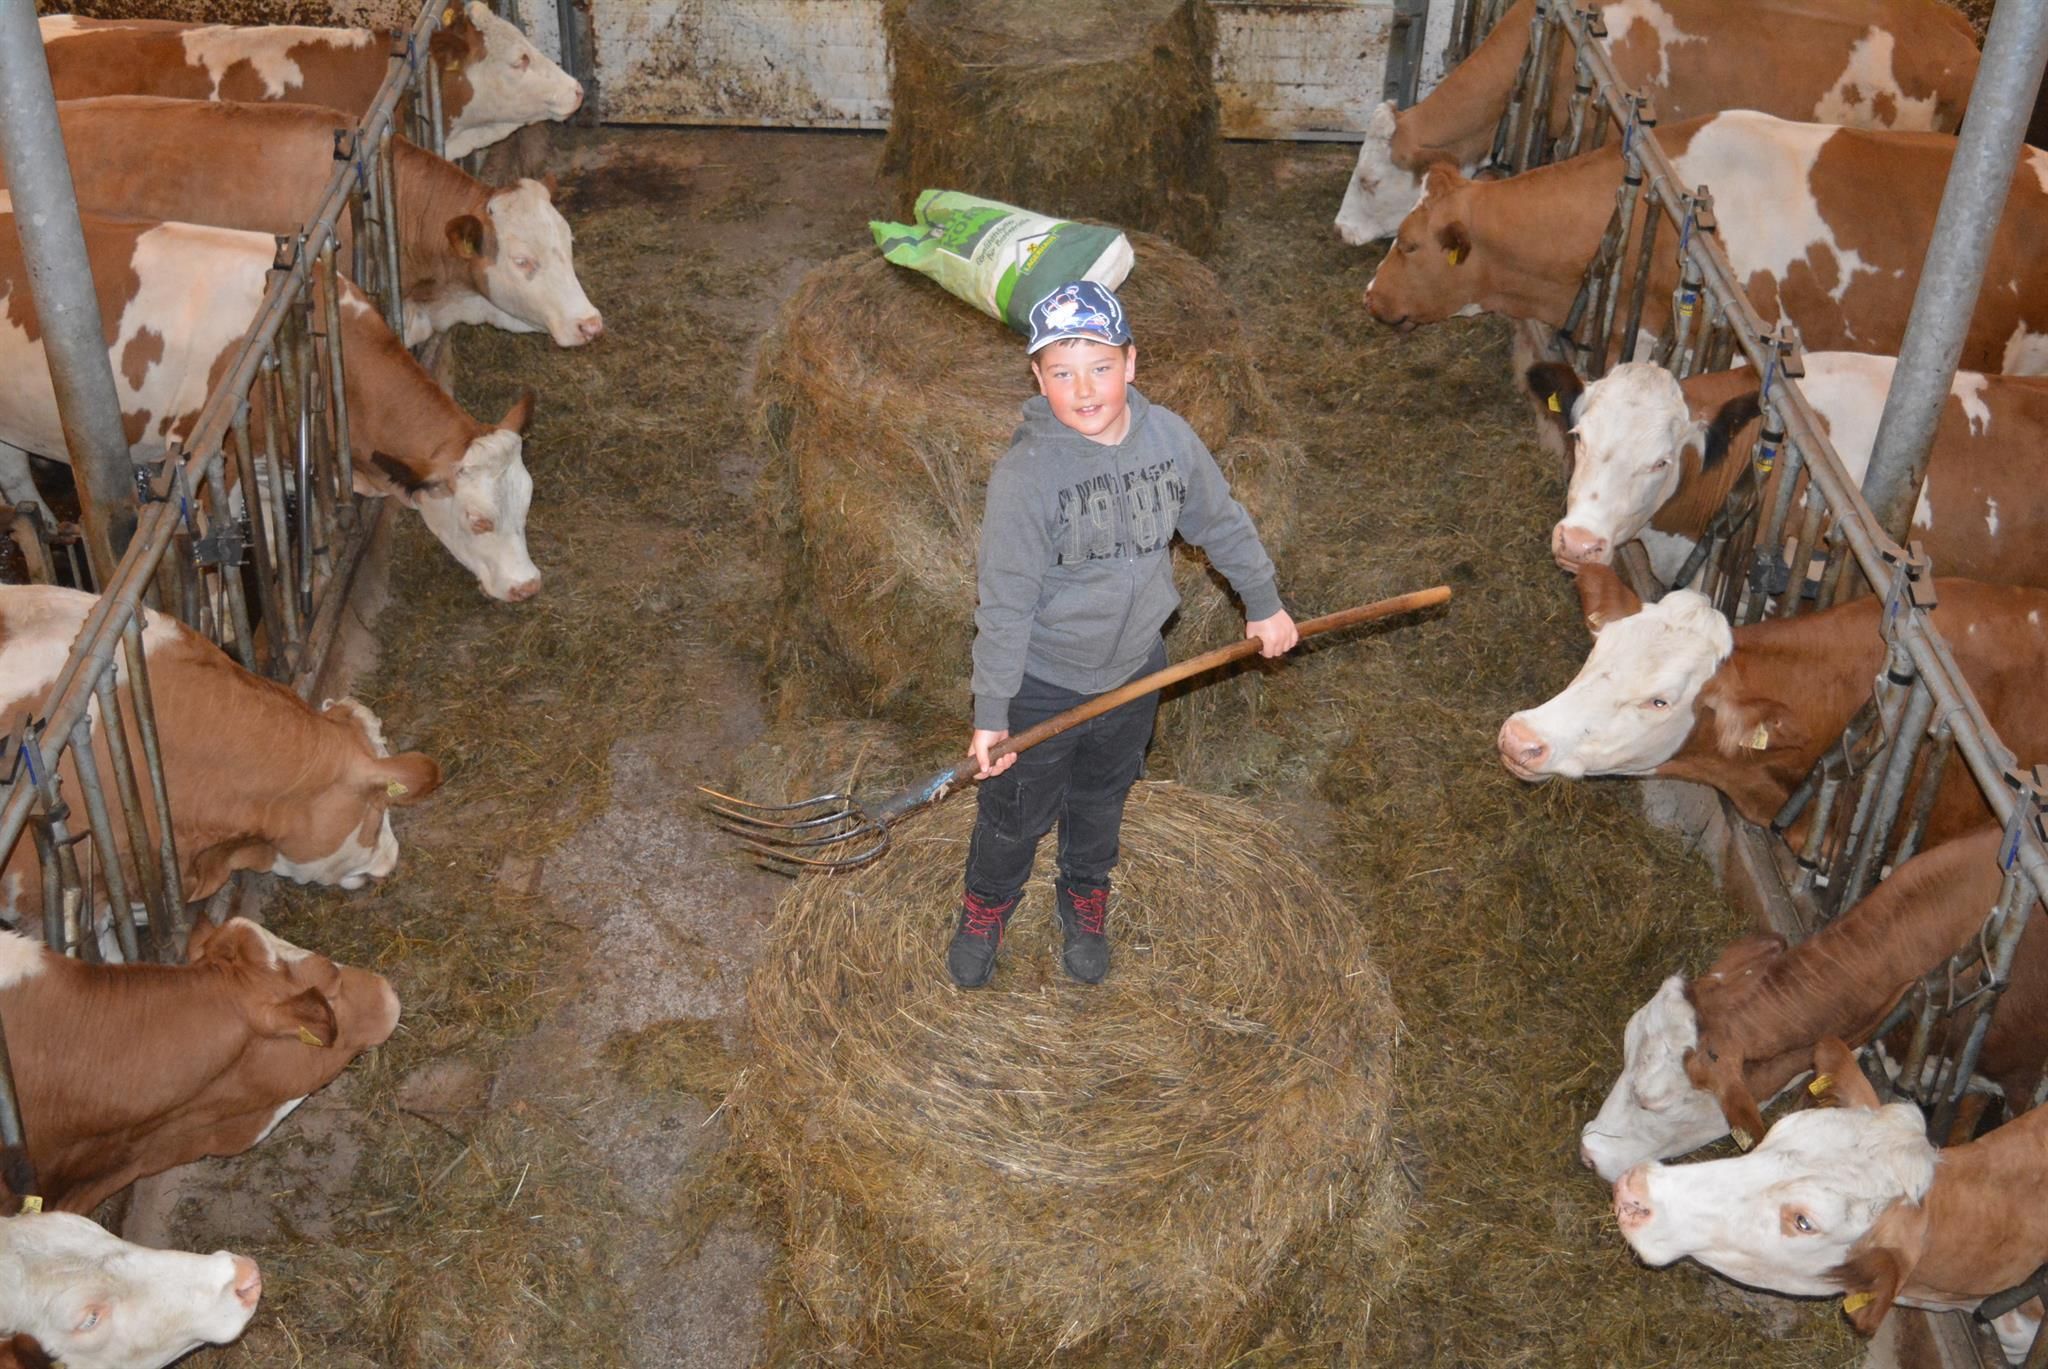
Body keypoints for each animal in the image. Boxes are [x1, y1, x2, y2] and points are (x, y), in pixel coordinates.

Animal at [0, 204, 543, 601]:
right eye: (478, 520)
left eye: (527, 500)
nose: (528, 586)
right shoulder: (201, 467)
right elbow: (214, 576)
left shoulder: (260, 455)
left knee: (15, 476)